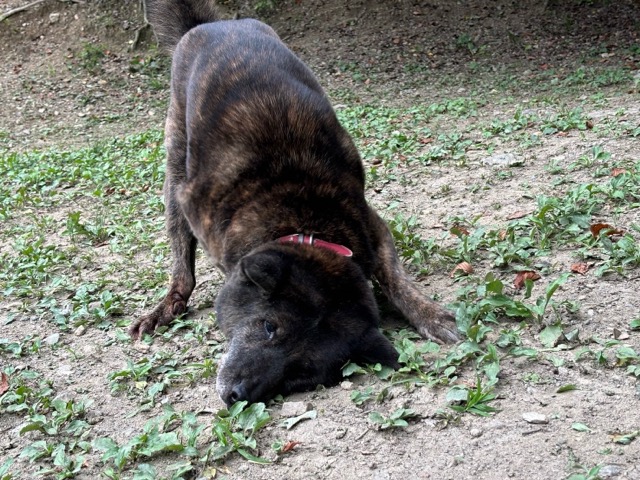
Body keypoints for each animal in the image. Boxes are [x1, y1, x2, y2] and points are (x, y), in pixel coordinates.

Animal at [130, 0, 460, 406]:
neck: (305, 223)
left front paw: (429, 314)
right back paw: (168, 304)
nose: (237, 395)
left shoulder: (372, 227)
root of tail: (210, 24)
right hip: (176, 161)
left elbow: (396, 277)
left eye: (299, 372)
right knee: (182, 263)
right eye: (269, 327)